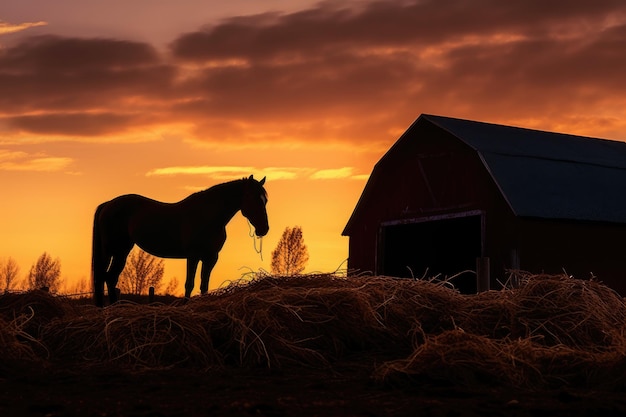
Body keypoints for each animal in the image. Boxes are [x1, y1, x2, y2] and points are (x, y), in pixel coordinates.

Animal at [91, 174, 266, 308]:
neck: (208, 216)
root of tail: (108, 205)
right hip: (112, 250)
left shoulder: (211, 257)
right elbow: (189, 283)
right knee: (104, 276)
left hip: (121, 251)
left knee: (110, 277)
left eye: (265, 200)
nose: (264, 229)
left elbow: (204, 284)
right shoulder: (193, 256)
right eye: (252, 198)